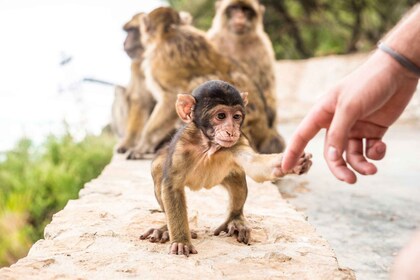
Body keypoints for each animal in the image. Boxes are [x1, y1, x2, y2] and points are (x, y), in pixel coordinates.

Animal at [141, 80, 312, 256]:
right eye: (221, 116)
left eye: (236, 117)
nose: (231, 130)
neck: (208, 145)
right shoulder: (181, 147)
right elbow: (171, 186)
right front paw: (181, 240)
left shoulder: (239, 142)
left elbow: (255, 166)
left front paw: (292, 163)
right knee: (158, 167)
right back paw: (165, 229)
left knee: (237, 178)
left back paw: (235, 219)